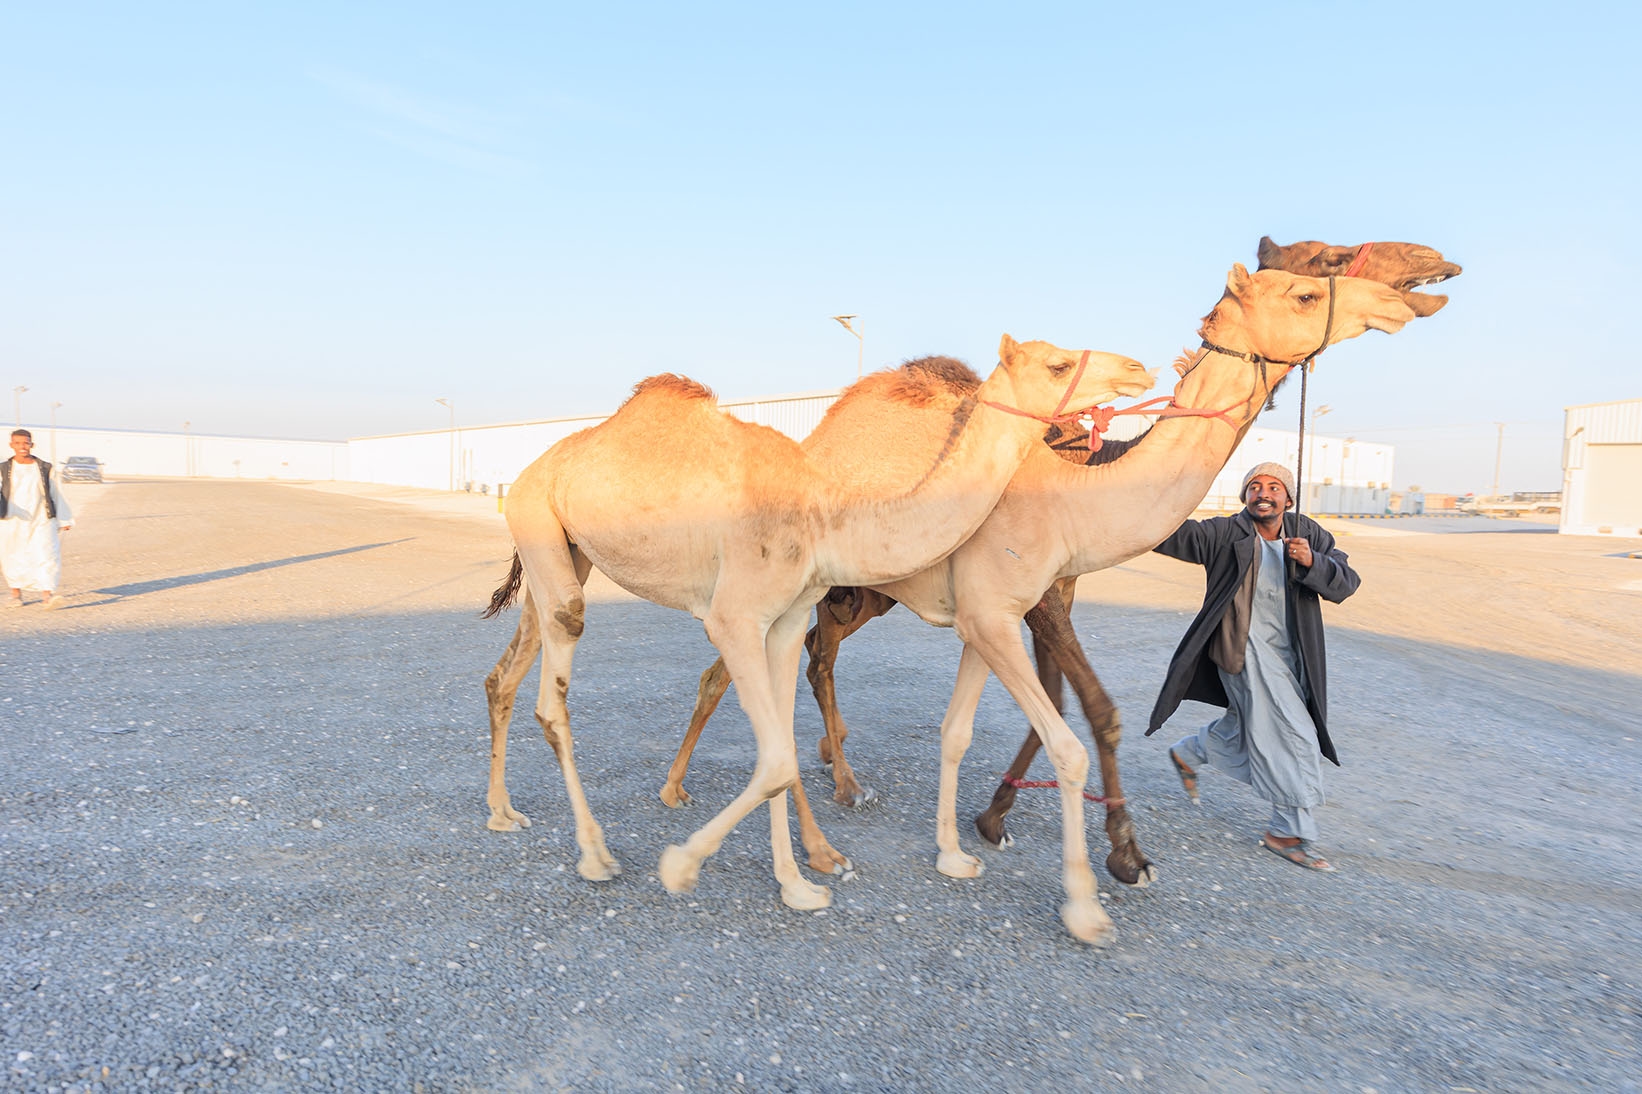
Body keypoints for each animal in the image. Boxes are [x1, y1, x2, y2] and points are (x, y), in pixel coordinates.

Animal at [478, 336, 1154, 926]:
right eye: (1057, 363)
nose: (1138, 368)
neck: (826, 511)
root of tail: (530, 471)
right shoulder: (734, 617)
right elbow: (777, 755)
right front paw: (682, 866)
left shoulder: (785, 618)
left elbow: (781, 750)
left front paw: (798, 884)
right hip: (542, 525)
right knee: (555, 685)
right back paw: (595, 854)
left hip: (564, 550)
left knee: (505, 670)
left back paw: (502, 812)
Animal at [660, 264, 1417, 944]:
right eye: (1308, 288)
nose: (1406, 298)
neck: (1069, 495)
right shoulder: (1000, 613)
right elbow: (1072, 739)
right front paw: (1091, 895)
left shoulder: (985, 618)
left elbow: (959, 733)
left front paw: (957, 850)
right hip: (808, 585)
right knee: (761, 672)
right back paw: (760, 811)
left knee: (793, 668)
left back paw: (807, 798)